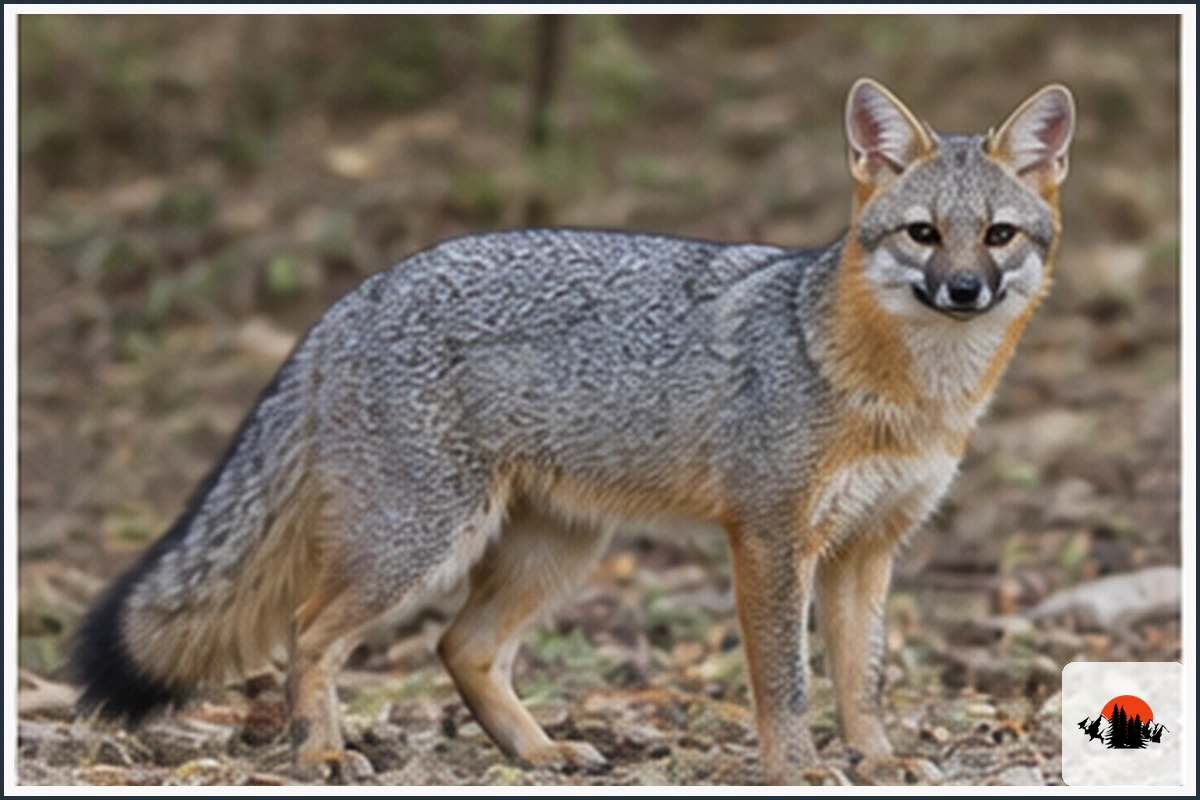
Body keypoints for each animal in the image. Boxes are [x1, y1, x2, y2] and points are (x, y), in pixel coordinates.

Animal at [72, 78, 1075, 784]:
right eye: (922, 234)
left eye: (997, 236)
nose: (963, 290)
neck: (901, 394)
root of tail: (355, 298)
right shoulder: (770, 537)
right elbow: (786, 683)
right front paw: (799, 769)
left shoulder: (869, 549)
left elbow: (864, 677)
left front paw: (876, 756)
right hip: (422, 544)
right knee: (306, 630)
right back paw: (319, 753)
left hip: (556, 548)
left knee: (460, 647)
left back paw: (538, 752)